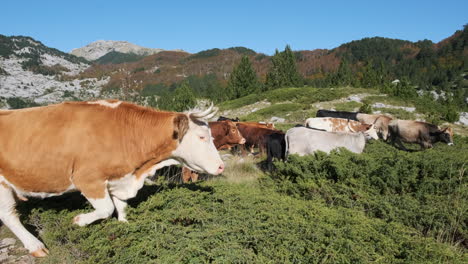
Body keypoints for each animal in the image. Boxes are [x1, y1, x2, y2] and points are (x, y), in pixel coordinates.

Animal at [0, 100, 225, 256]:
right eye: (201, 137)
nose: (221, 166)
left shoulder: (119, 178)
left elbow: (121, 207)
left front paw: (125, 227)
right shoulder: (88, 179)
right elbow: (107, 208)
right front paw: (79, 220)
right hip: (2, 185)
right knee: (9, 215)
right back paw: (36, 246)